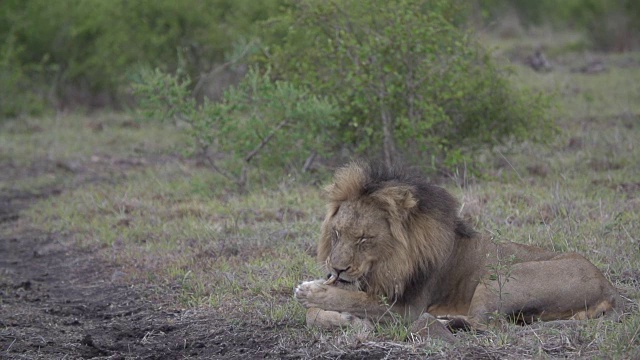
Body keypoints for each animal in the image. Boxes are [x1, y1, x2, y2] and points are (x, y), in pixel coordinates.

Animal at [296, 160, 624, 338]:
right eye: (337, 233)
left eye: (365, 238)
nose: (336, 268)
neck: (387, 263)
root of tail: (608, 287)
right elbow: (318, 312)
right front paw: (340, 316)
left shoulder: (406, 308)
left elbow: (354, 300)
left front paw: (311, 291)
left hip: (499, 278)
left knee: (489, 325)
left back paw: (442, 321)